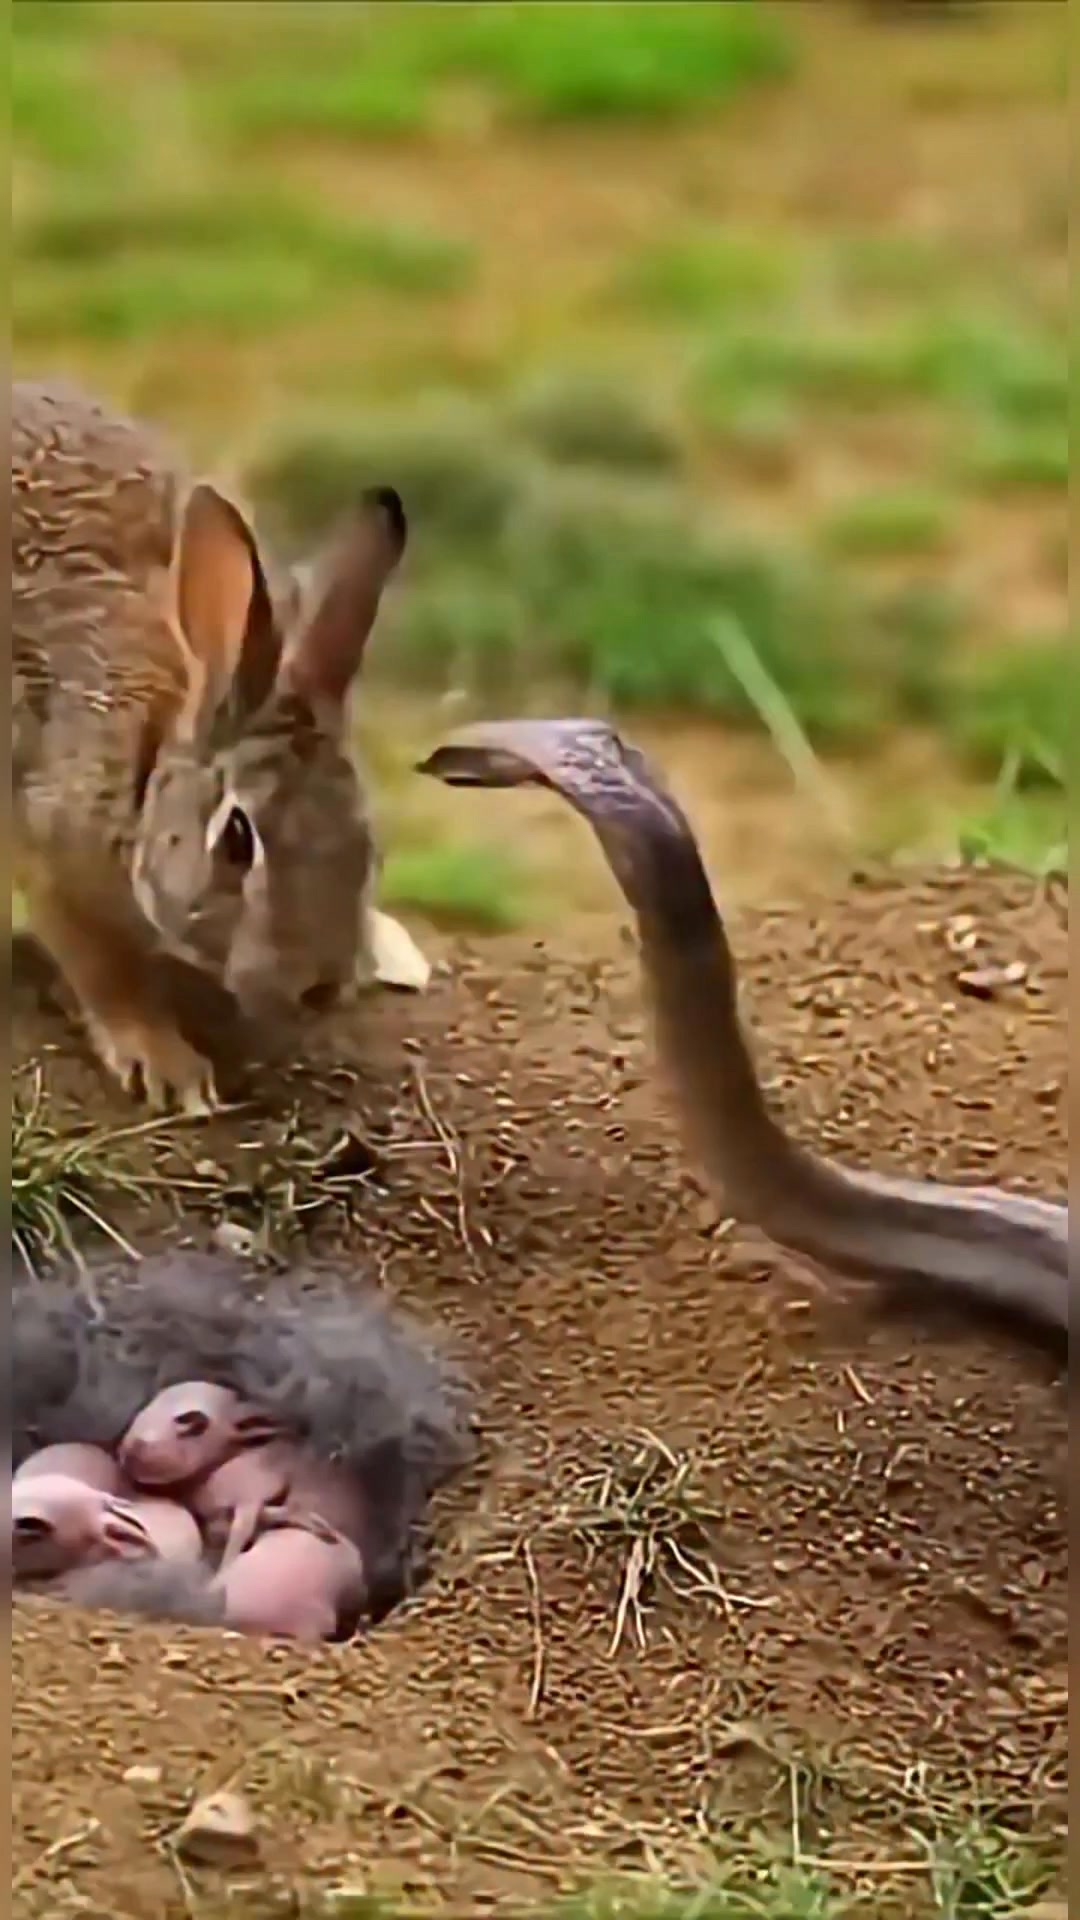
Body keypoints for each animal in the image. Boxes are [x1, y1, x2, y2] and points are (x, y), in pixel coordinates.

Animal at [12, 378, 424, 1113]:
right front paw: (167, 1065)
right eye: (237, 840)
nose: (321, 987)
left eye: (369, 842)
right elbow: (101, 965)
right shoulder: (51, 849)